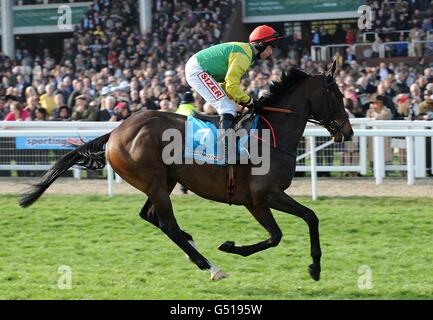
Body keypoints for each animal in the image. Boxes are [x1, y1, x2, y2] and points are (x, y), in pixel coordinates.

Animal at [18, 59, 352, 280]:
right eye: (337, 95)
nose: (347, 132)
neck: (271, 135)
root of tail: (115, 132)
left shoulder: (260, 198)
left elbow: (304, 220)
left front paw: (314, 266)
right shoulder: (261, 197)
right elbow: (282, 232)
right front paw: (233, 247)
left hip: (162, 181)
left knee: (151, 216)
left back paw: (193, 244)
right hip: (153, 181)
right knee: (167, 224)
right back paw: (210, 266)